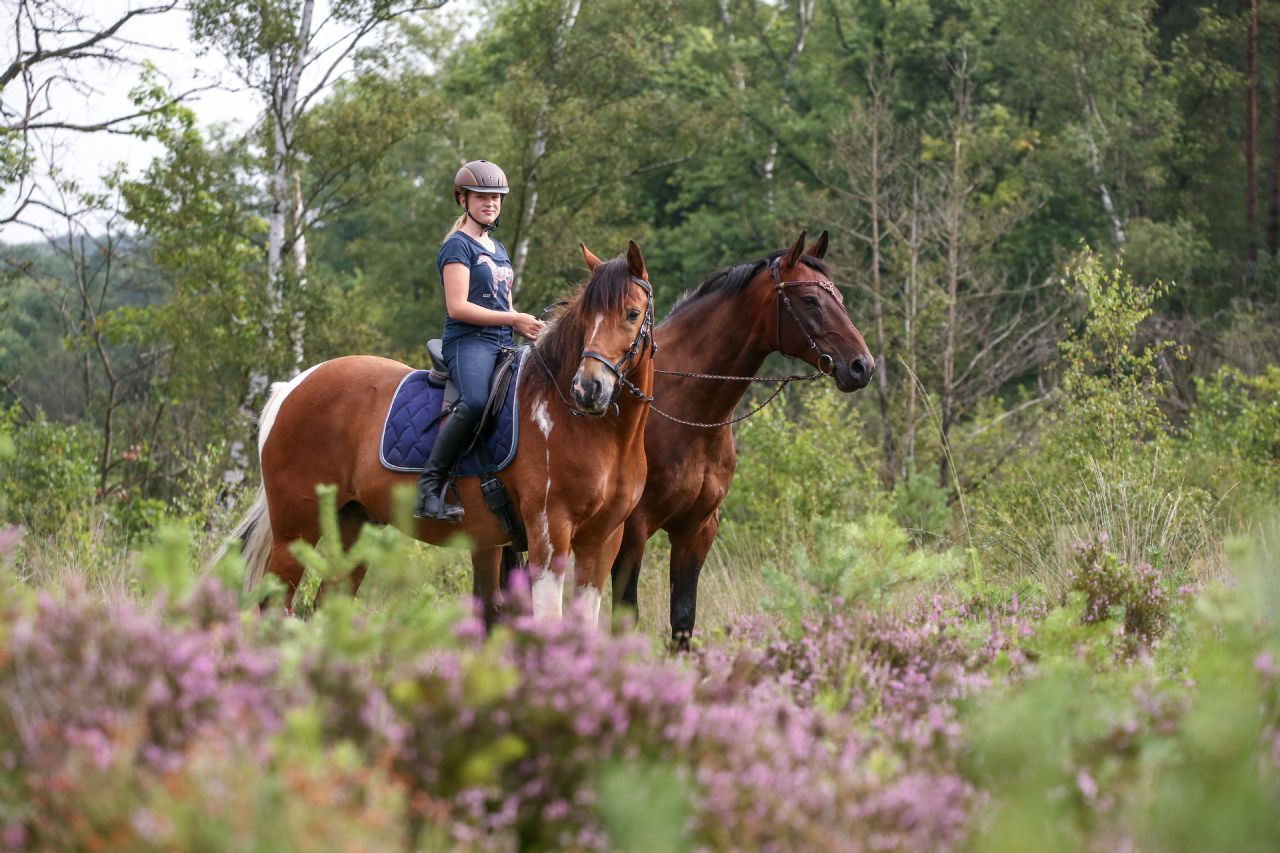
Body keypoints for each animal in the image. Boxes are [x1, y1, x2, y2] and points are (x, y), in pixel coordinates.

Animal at [232, 241, 656, 627]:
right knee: (274, 610)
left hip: (355, 526)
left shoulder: (602, 541)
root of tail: (292, 387)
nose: (588, 390)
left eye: (632, 314)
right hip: (295, 532)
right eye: (587, 316)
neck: (596, 432)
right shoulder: (550, 534)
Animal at [608, 232, 873, 649]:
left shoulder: (697, 531)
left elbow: (682, 619)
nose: (862, 366)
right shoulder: (631, 530)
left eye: (841, 298)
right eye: (809, 300)